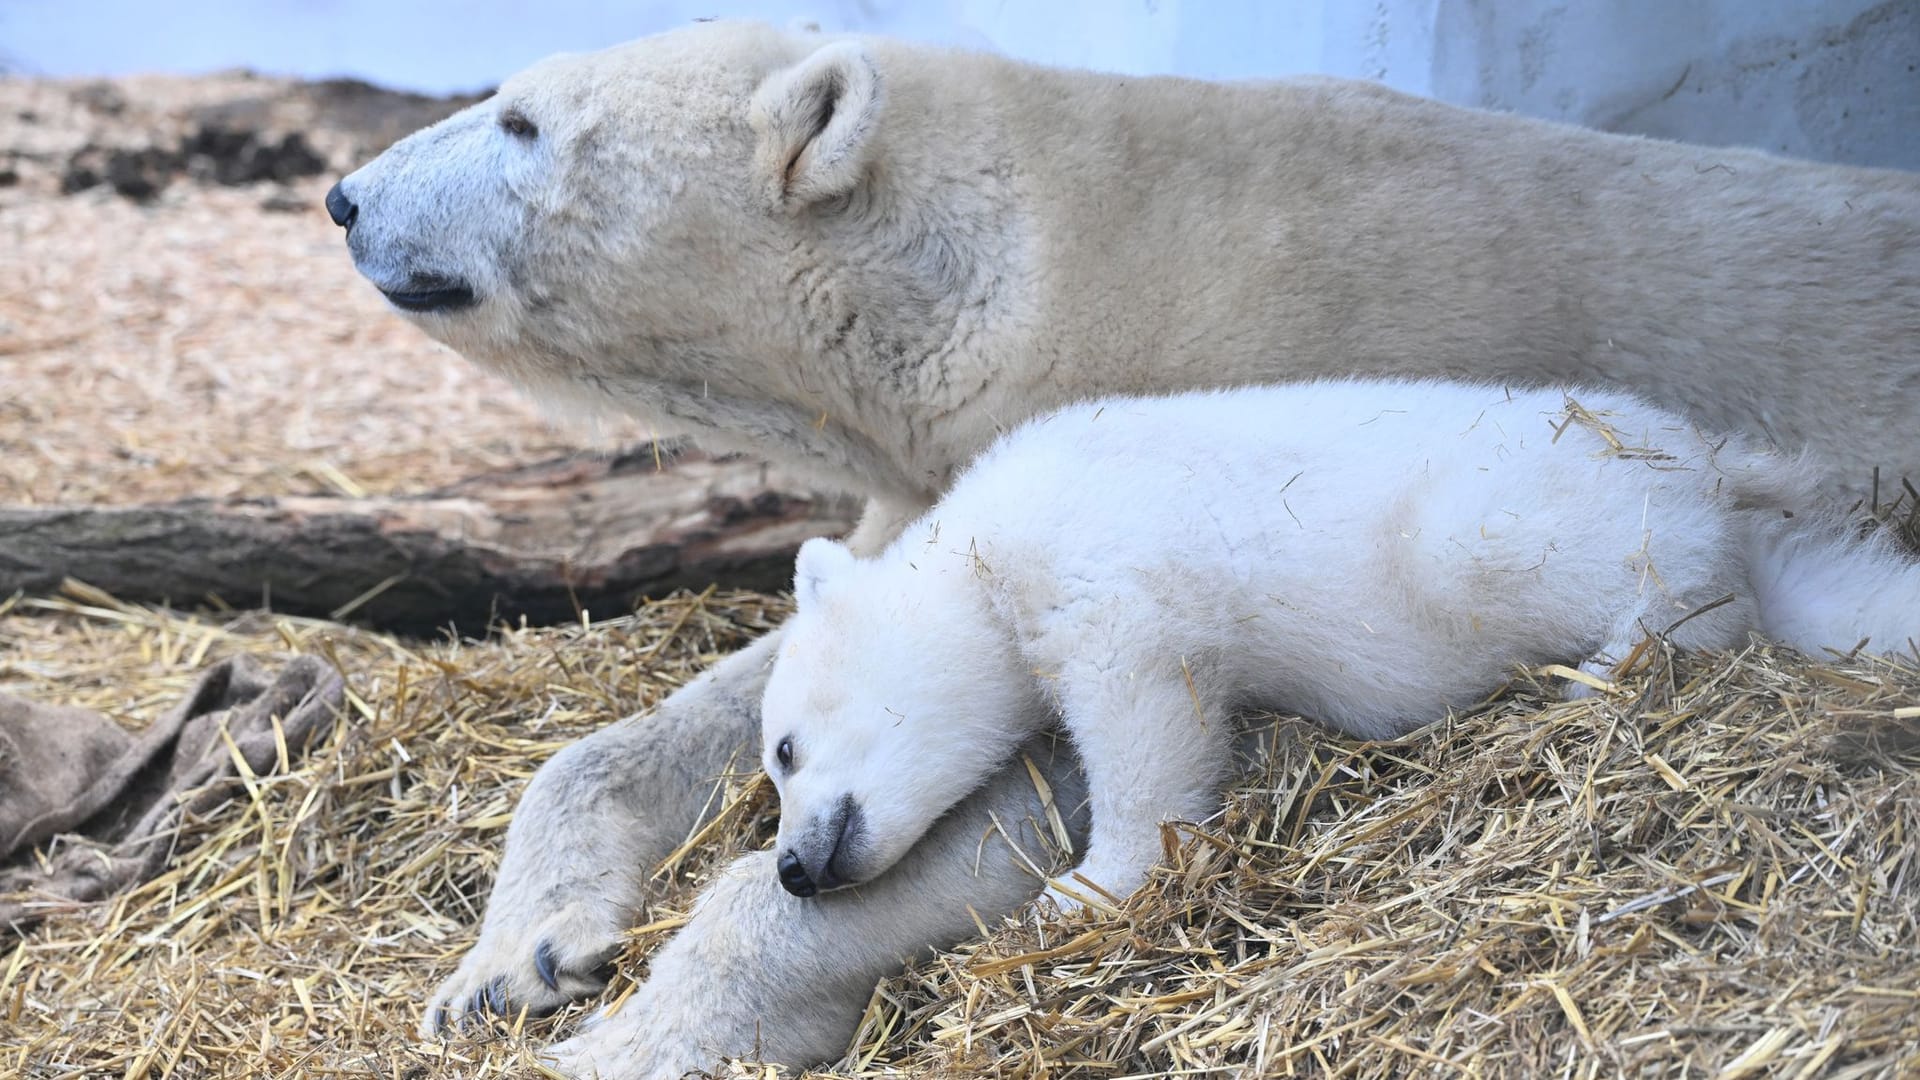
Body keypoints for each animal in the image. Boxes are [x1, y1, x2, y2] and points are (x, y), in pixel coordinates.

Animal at [330, 18, 1920, 1076]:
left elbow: (1046, 777)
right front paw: (511, 962)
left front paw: (639, 1030)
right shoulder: (943, 471)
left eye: (523, 122)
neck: (1030, 256)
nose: (344, 196)